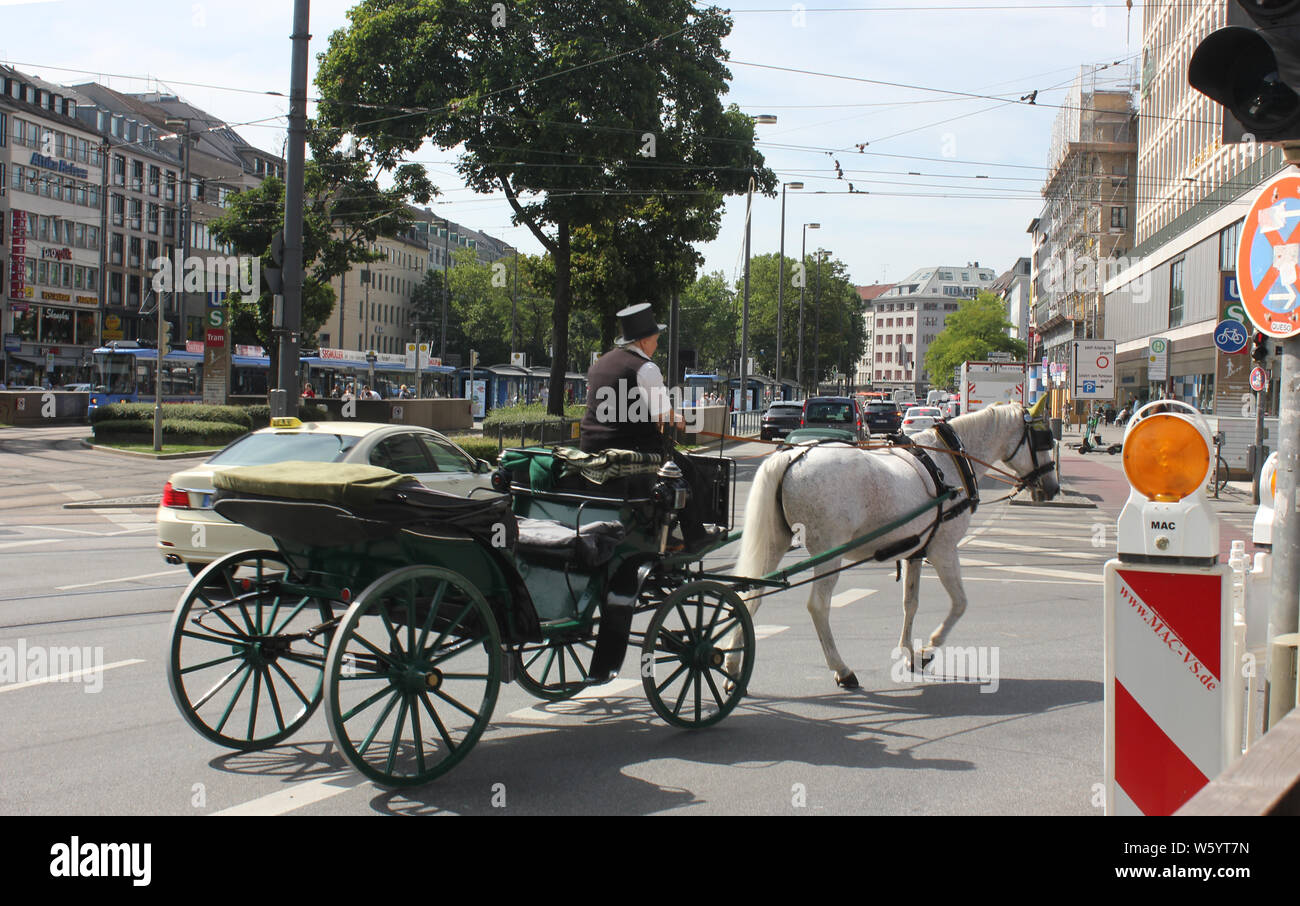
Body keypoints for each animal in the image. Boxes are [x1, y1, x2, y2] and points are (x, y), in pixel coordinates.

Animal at [733, 400, 1055, 691]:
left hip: (774, 543)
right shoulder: (944, 550)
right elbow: (960, 603)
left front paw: (910, 653)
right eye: (1042, 438)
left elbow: (910, 603)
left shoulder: (915, 552)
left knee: (751, 595)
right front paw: (928, 650)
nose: (1052, 488)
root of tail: (793, 456)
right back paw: (842, 669)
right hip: (828, 552)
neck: (949, 462)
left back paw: (734, 666)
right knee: (818, 606)